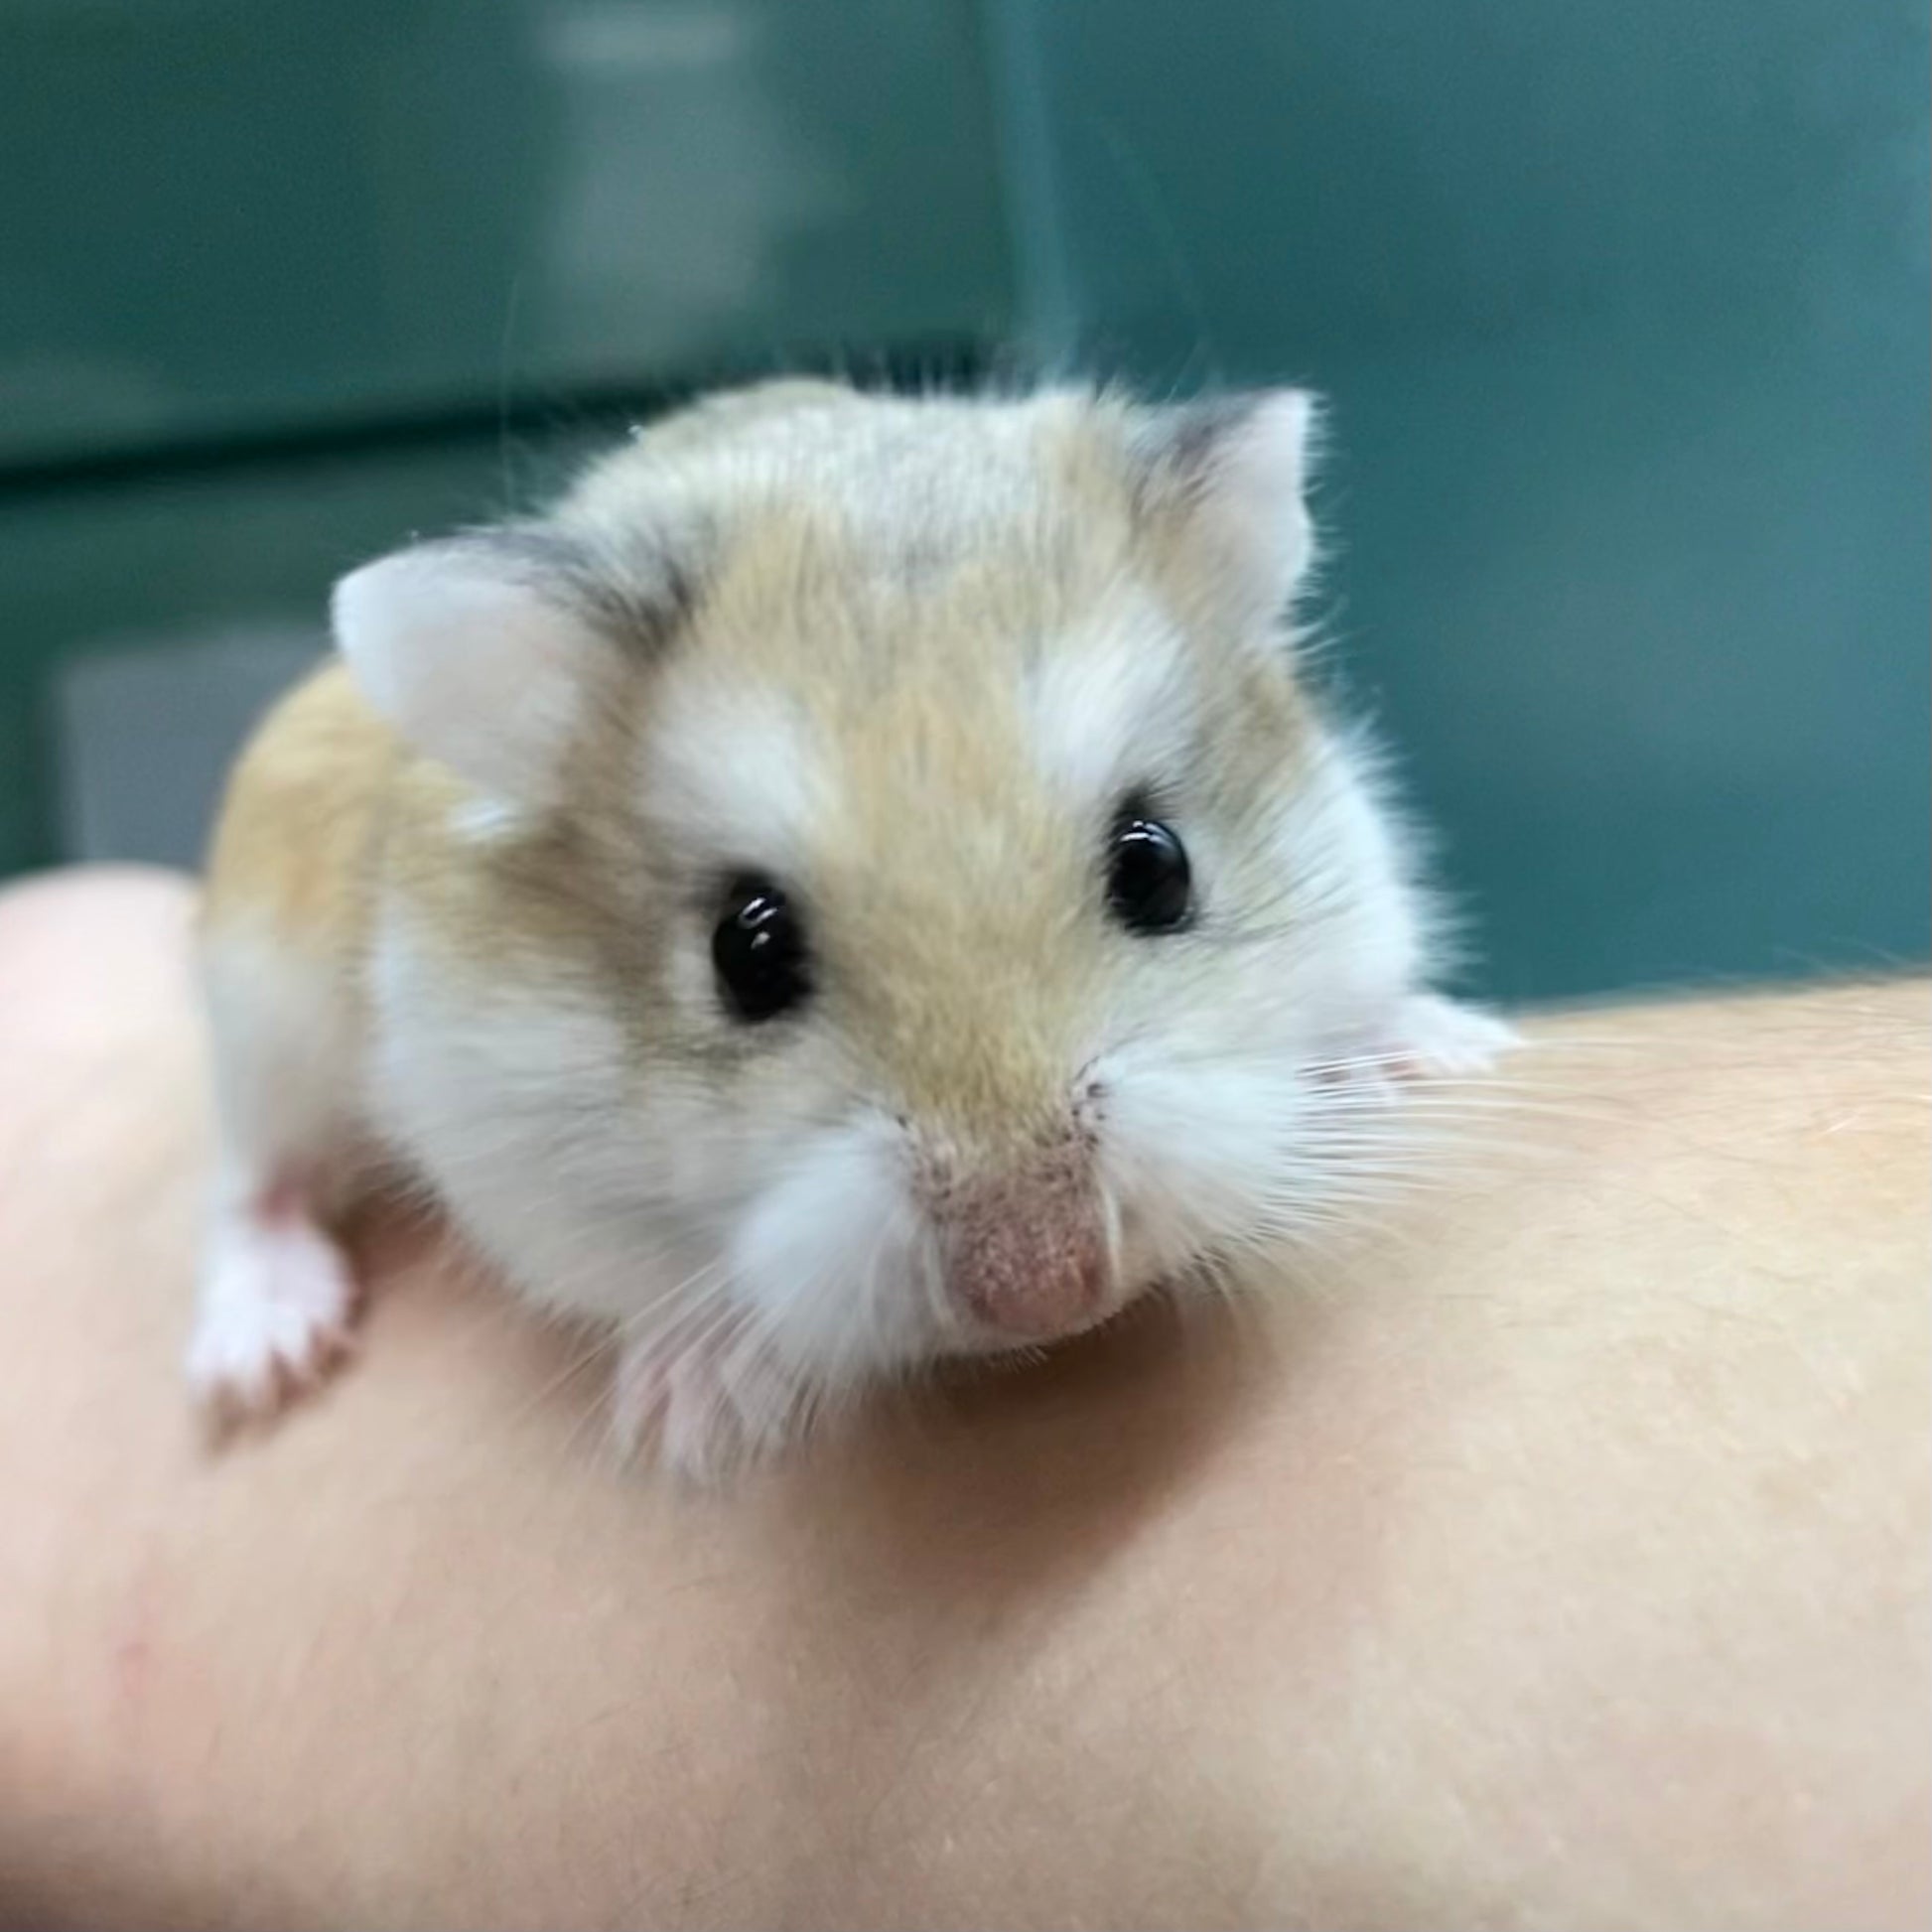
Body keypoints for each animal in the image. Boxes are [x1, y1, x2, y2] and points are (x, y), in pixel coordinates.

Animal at [188, 376, 1511, 1479]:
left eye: (1157, 865)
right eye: (745, 951)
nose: (1047, 1291)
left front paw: (1436, 1052)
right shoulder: (501, 1145)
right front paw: (702, 1415)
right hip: (261, 1013)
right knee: (252, 1181)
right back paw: (259, 1362)